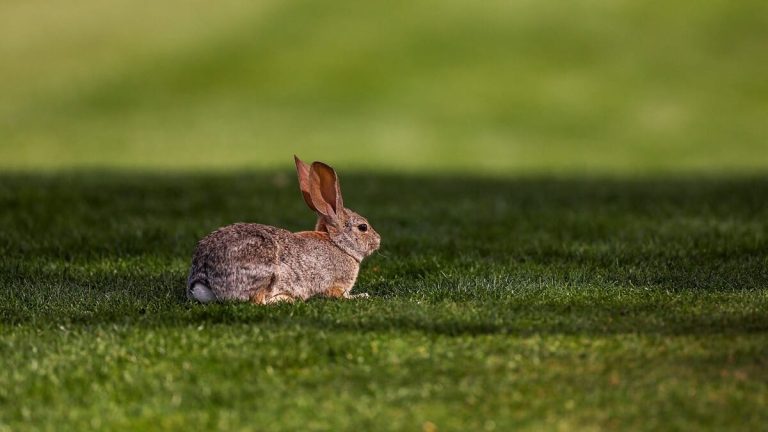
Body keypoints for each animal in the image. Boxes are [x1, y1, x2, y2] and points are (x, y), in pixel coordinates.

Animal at [189, 156, 380, 304]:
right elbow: (339, 294)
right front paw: (362, 295)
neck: (339, 244)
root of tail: (202, 278)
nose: (378, 239)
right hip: (264, 271)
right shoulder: (334, 284)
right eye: (363, 227)